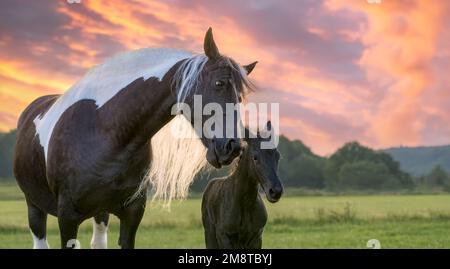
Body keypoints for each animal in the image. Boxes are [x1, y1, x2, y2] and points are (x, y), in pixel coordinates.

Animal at [13, 28, 256, 248]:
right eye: (219, 83)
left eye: (241, 95)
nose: (233, 147)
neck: (106, 132)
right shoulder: (67, 218)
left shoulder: (132, 213)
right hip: (34, 206)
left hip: (100, 213)